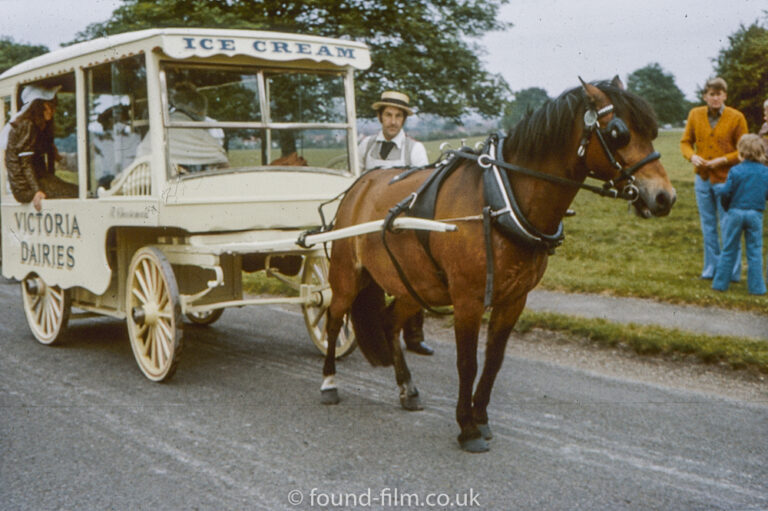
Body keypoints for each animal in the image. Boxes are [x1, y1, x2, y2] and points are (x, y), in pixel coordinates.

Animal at [320, 76, 680, 452]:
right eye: (618, 132)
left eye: (652, 129)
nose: (664, 197)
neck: (500, 200)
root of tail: (361, 183)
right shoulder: (467, 300)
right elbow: (468, 362)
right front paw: (467, 428)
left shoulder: (514, 299)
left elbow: (493, 361)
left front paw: (481, 417)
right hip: (346, 274)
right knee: (333, 320)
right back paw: (329, 382)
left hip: (415, 286)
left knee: (389, 322)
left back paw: (407, 388)